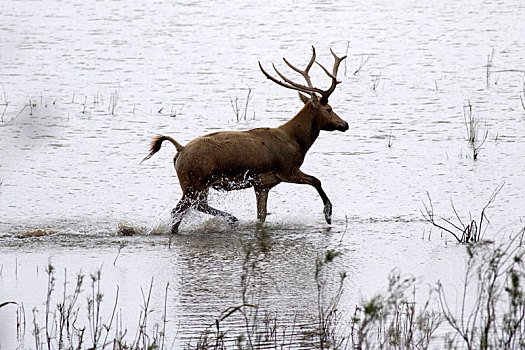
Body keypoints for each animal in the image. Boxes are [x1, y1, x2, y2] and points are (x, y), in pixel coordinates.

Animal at [140, 45, 348, 232]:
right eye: (329, 109)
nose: (344, 124)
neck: (297, 143)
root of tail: (179, 150)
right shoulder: (287, 170)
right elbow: (316, 180)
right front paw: (328, 214)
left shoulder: (262, 185)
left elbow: (261, 216)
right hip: (195, 182)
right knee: (184, 208)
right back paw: (231, 218)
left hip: (194, 185)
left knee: (184, 209)